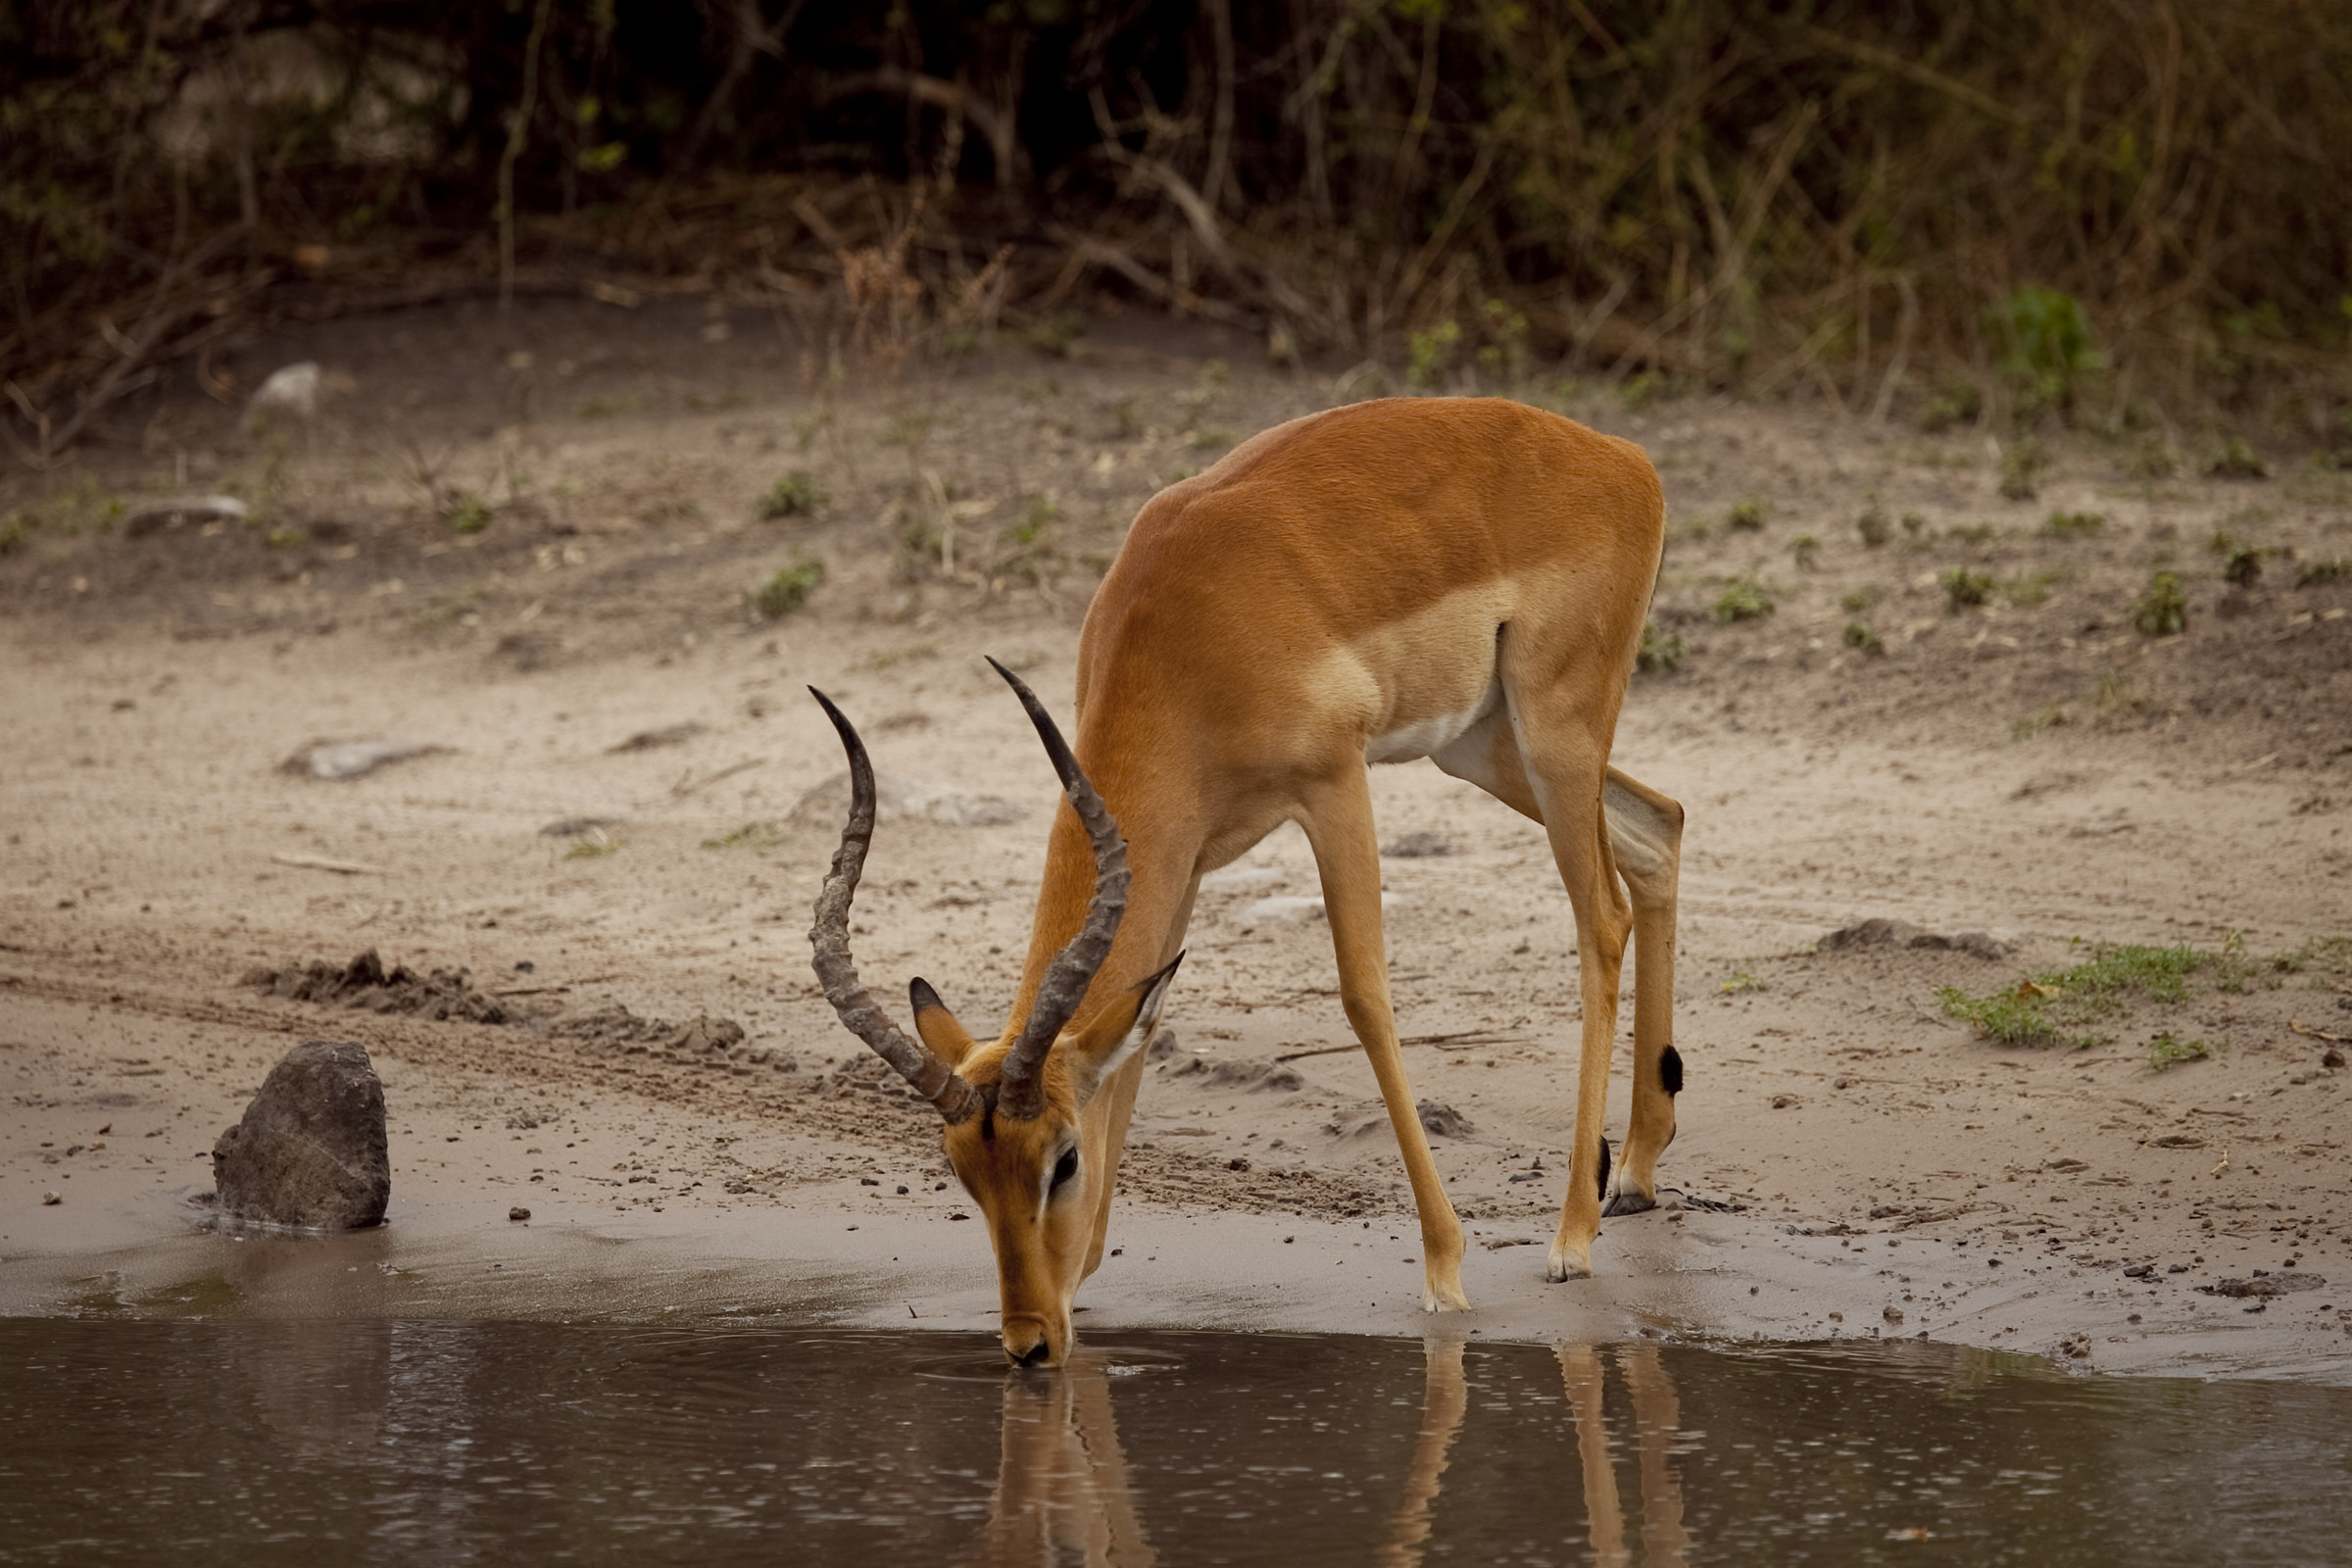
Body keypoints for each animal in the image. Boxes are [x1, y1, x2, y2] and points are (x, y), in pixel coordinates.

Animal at [810, 396, 1685, 1366]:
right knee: (1659, 829)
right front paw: (1088, 1271)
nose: (1029, 1343)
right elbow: (1143, 1031)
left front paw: (1445, 1271)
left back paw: (1572, 1237)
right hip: (1482, 745)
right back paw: (1635, 1176)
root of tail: (1623, 459)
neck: (1186, 628)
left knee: (1601, 915)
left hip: (1550, 731)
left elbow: (1364, 996)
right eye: (960, 1170)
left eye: (1062, 1158)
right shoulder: (1178, 860)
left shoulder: (1334, 785)